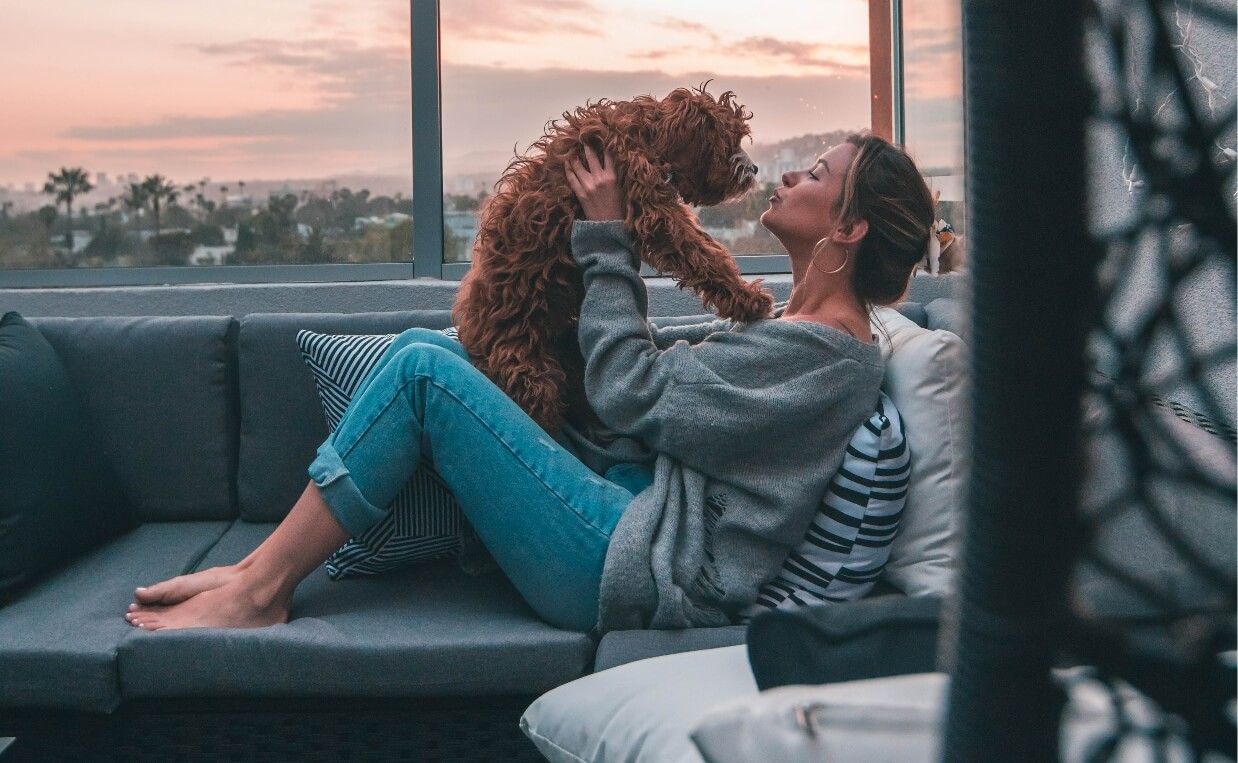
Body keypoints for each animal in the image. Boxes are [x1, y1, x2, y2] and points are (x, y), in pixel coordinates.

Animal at [450, 84, 772, 436]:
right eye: (730, 141)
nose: (754, 170)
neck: (647, 138)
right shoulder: (655, 212)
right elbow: (702, 253)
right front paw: (747, 298)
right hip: (528, 369)